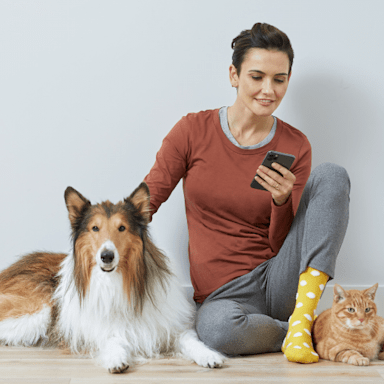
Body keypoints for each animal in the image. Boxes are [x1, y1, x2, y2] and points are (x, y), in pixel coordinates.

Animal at [0, 184, 225, 374]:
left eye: (122, 228)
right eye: (95, 228)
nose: (106, 256)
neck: (115, 280)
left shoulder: (169, 326)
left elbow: (189, 340)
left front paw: (209, 355)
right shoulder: (95, 329)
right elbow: (110, 338)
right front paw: (117, 358)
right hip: (38, 313)